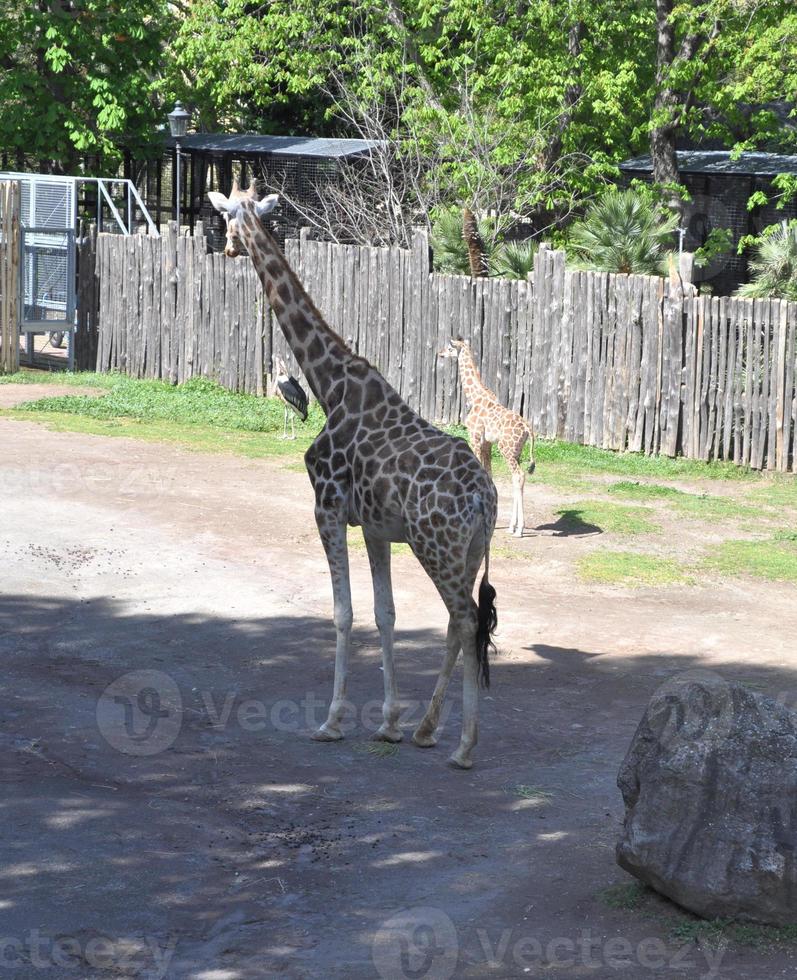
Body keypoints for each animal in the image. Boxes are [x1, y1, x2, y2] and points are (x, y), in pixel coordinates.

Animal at [442, 336, 536, 536]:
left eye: (449, 348)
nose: (440, 353)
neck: (475, 396)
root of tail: (527, 429)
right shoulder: (487, 444)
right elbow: (489, 474)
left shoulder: (475, 437)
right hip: (516, 451)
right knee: (516, 479)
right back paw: (511, 526)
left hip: (506, 449)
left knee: (519, 476)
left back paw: (519, 529)